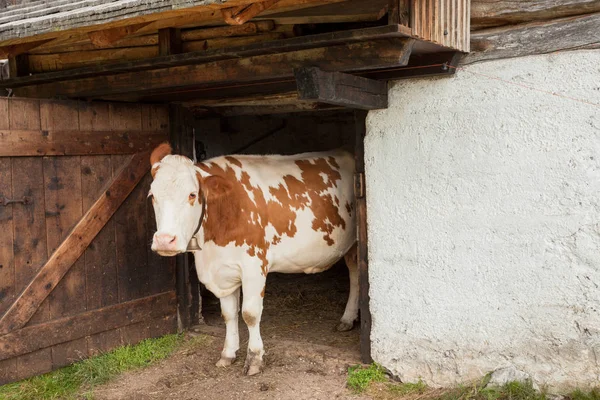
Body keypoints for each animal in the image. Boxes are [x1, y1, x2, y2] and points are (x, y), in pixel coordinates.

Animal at [148, 143, 358, 376]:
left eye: (192, 194)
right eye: (152, 195)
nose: (165, 240)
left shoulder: (254, 266)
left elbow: (250, 313)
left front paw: (255, 358)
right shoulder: (222, 270)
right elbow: (229, 314)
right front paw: (228, 353)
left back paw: (347, 317)